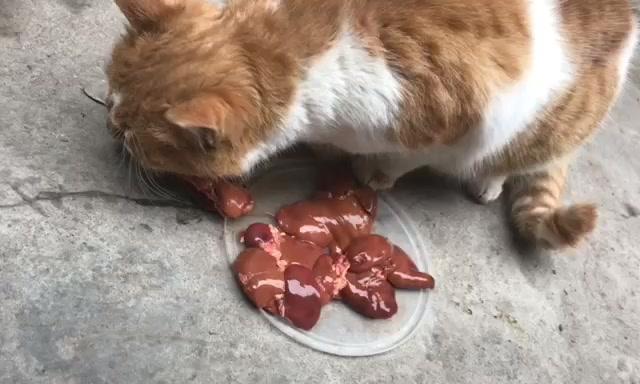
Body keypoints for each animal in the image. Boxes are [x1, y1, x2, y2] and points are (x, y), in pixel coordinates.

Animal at [107, 0, 636, 249]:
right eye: (110, 92)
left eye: (135, 137)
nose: (112, 124)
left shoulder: (462, 121)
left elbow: (404, 159)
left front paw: (373, 173)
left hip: (550, 126)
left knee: (515, 159)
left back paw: (486, 181)